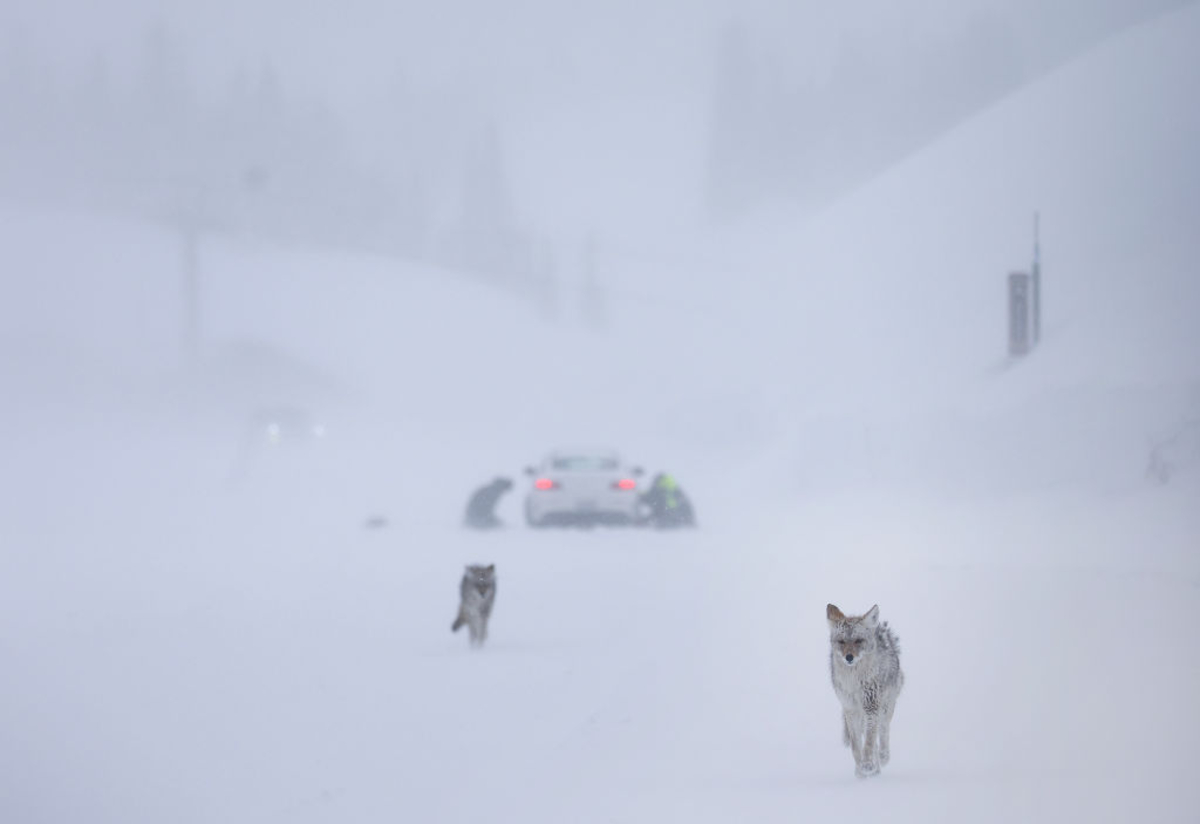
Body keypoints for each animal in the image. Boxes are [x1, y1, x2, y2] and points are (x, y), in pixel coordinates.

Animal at [827, 603, 903, 778]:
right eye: (841, 641)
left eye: (858, 641)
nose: (849, 657)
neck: (854, 681)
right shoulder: (851, 709)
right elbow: (856, 746)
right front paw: (861, 770)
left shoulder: (871, 707)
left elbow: (869, 741)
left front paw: (868, 764)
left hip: (886, 707)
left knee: (883, 731)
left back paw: (883, 757)